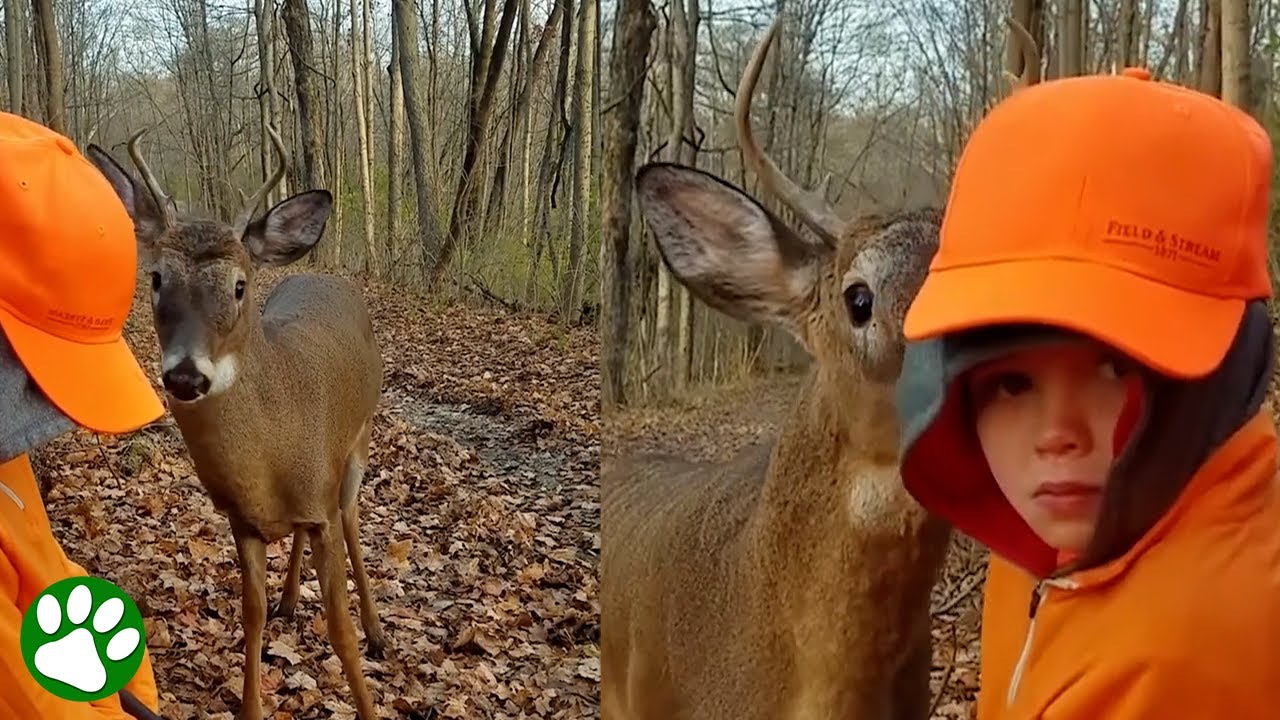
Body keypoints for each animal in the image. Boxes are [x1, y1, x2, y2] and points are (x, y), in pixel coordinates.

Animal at [85, 126, 386, 720]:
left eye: (240, 286)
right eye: (156, 278)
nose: (185, 375)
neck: (266, 460)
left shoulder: (320, 504)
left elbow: (339, 630)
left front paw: (366, 699)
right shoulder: (242, 521)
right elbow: (251, 617)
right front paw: (251, 702)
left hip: (358, 442)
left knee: (353, 518)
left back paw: (378, 631)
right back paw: (291, 600)